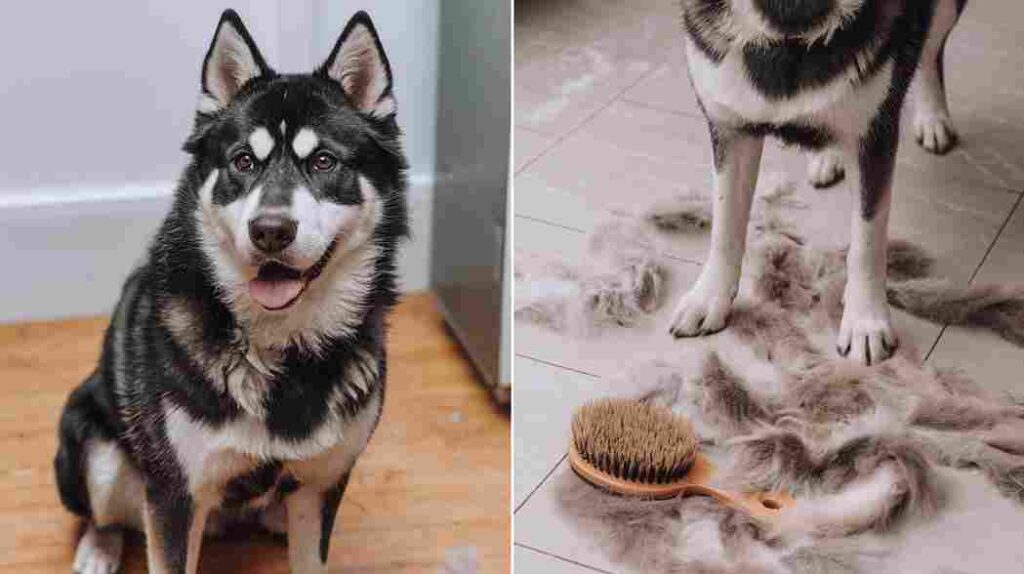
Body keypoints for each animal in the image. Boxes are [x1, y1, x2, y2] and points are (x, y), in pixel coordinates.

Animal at [51, 8, 403, 572]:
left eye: (323, 162)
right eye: (243, 161)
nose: (271, 231)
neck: (285, 349)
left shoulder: (322, 486)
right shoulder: (174, 496)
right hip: (93, 448)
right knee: (102, 515)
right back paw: (98, 549)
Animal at [671, 0, 966, 364]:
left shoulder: (873, 134)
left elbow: (867, 241)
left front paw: (864, 321)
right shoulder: (730, 126)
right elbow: (725, 226)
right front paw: (709, 297)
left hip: (946, 14)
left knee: (931, 49)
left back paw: (932, 116)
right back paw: (828, 155)